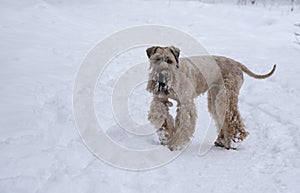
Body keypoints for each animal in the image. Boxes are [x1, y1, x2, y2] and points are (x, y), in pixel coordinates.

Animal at [146, 45, 276, 151]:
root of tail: (236, 63)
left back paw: (235, 141)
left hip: (224, 97)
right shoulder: (160, 99)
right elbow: (159, 112)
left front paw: (175, 144)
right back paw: (222, 141)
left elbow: (184, 124)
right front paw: (165, 135)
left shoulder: (186, 103)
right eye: (156, 59)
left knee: (233, 119)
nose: (161, 79)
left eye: (169, 60)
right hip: (214, 98)